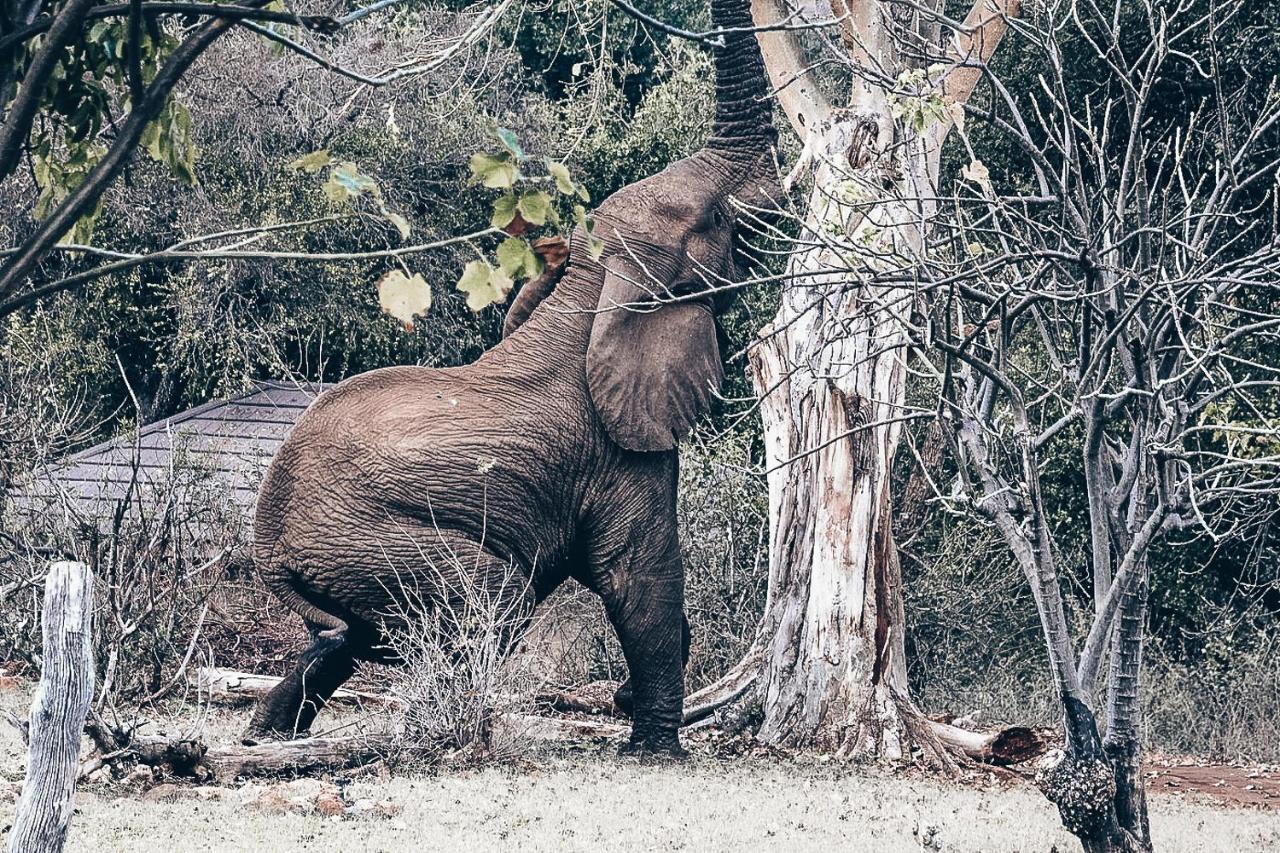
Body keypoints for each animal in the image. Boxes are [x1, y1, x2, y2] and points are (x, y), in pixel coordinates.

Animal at [243, 0, 773, 753]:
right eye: (716, 219)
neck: (590, 284)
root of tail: (265, 540)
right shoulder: (616, 447)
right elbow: (639, 577)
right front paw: (657, 751)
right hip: (369, 540)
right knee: (492, 600)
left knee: (345, 638)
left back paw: (267, 739)